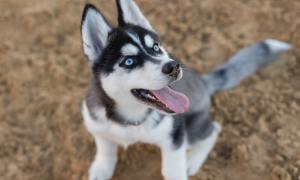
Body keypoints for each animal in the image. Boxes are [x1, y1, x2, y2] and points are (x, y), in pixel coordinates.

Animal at [79, 0, 290, 179]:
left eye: (156, 47)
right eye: (129, 61)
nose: (173, 66)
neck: (130, 119)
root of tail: (203, 82)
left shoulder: (175, 136)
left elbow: (173, 169)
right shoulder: (96, 125)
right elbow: (105, 147)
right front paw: (102, 167)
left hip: (193, 128)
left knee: (214, 128)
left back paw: (193, 160)